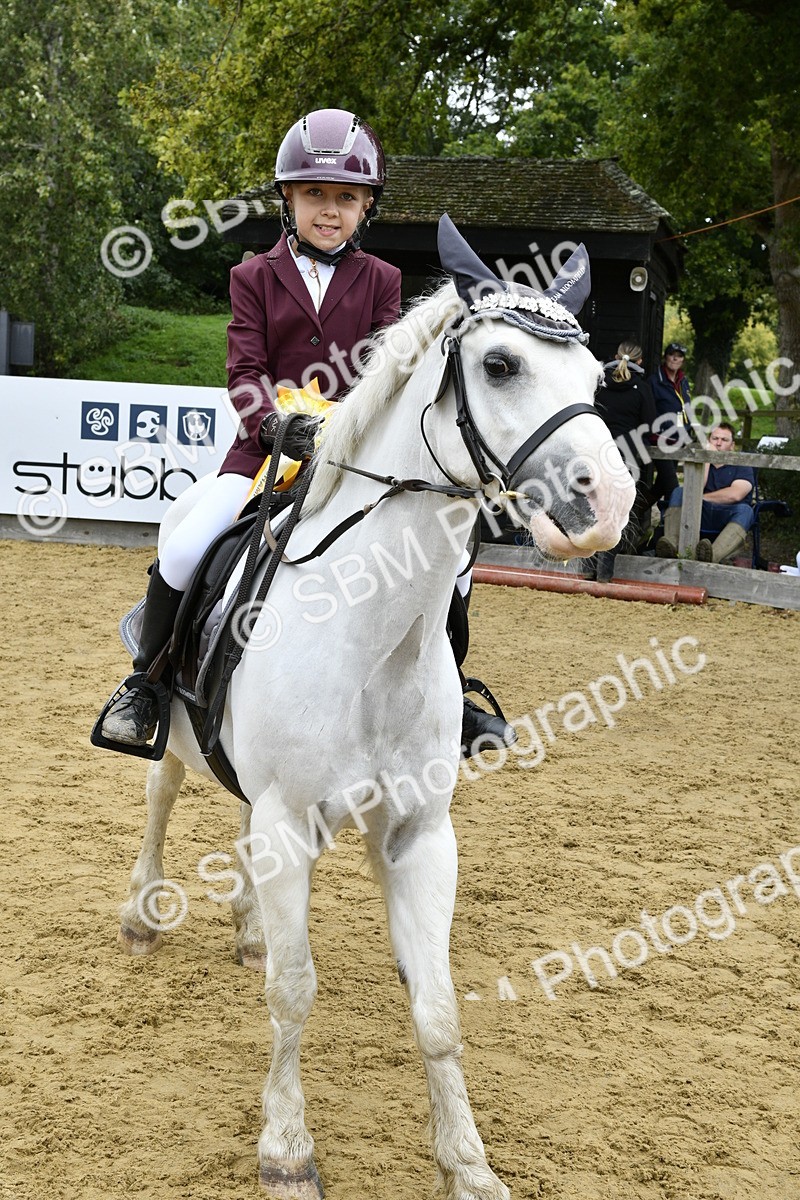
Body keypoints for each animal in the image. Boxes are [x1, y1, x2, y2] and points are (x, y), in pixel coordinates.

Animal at [114, 218, 635, 1200]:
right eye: (501, 364)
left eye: (595, 380)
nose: (608, 502)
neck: (372, 637)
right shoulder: (289, 822)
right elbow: (293, 992)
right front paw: (287, 1150)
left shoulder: (419, 833)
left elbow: (436, 1008)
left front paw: (468, 1163)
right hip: (175, 741)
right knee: (161, 796)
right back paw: (142, 910)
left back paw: (247, 928)